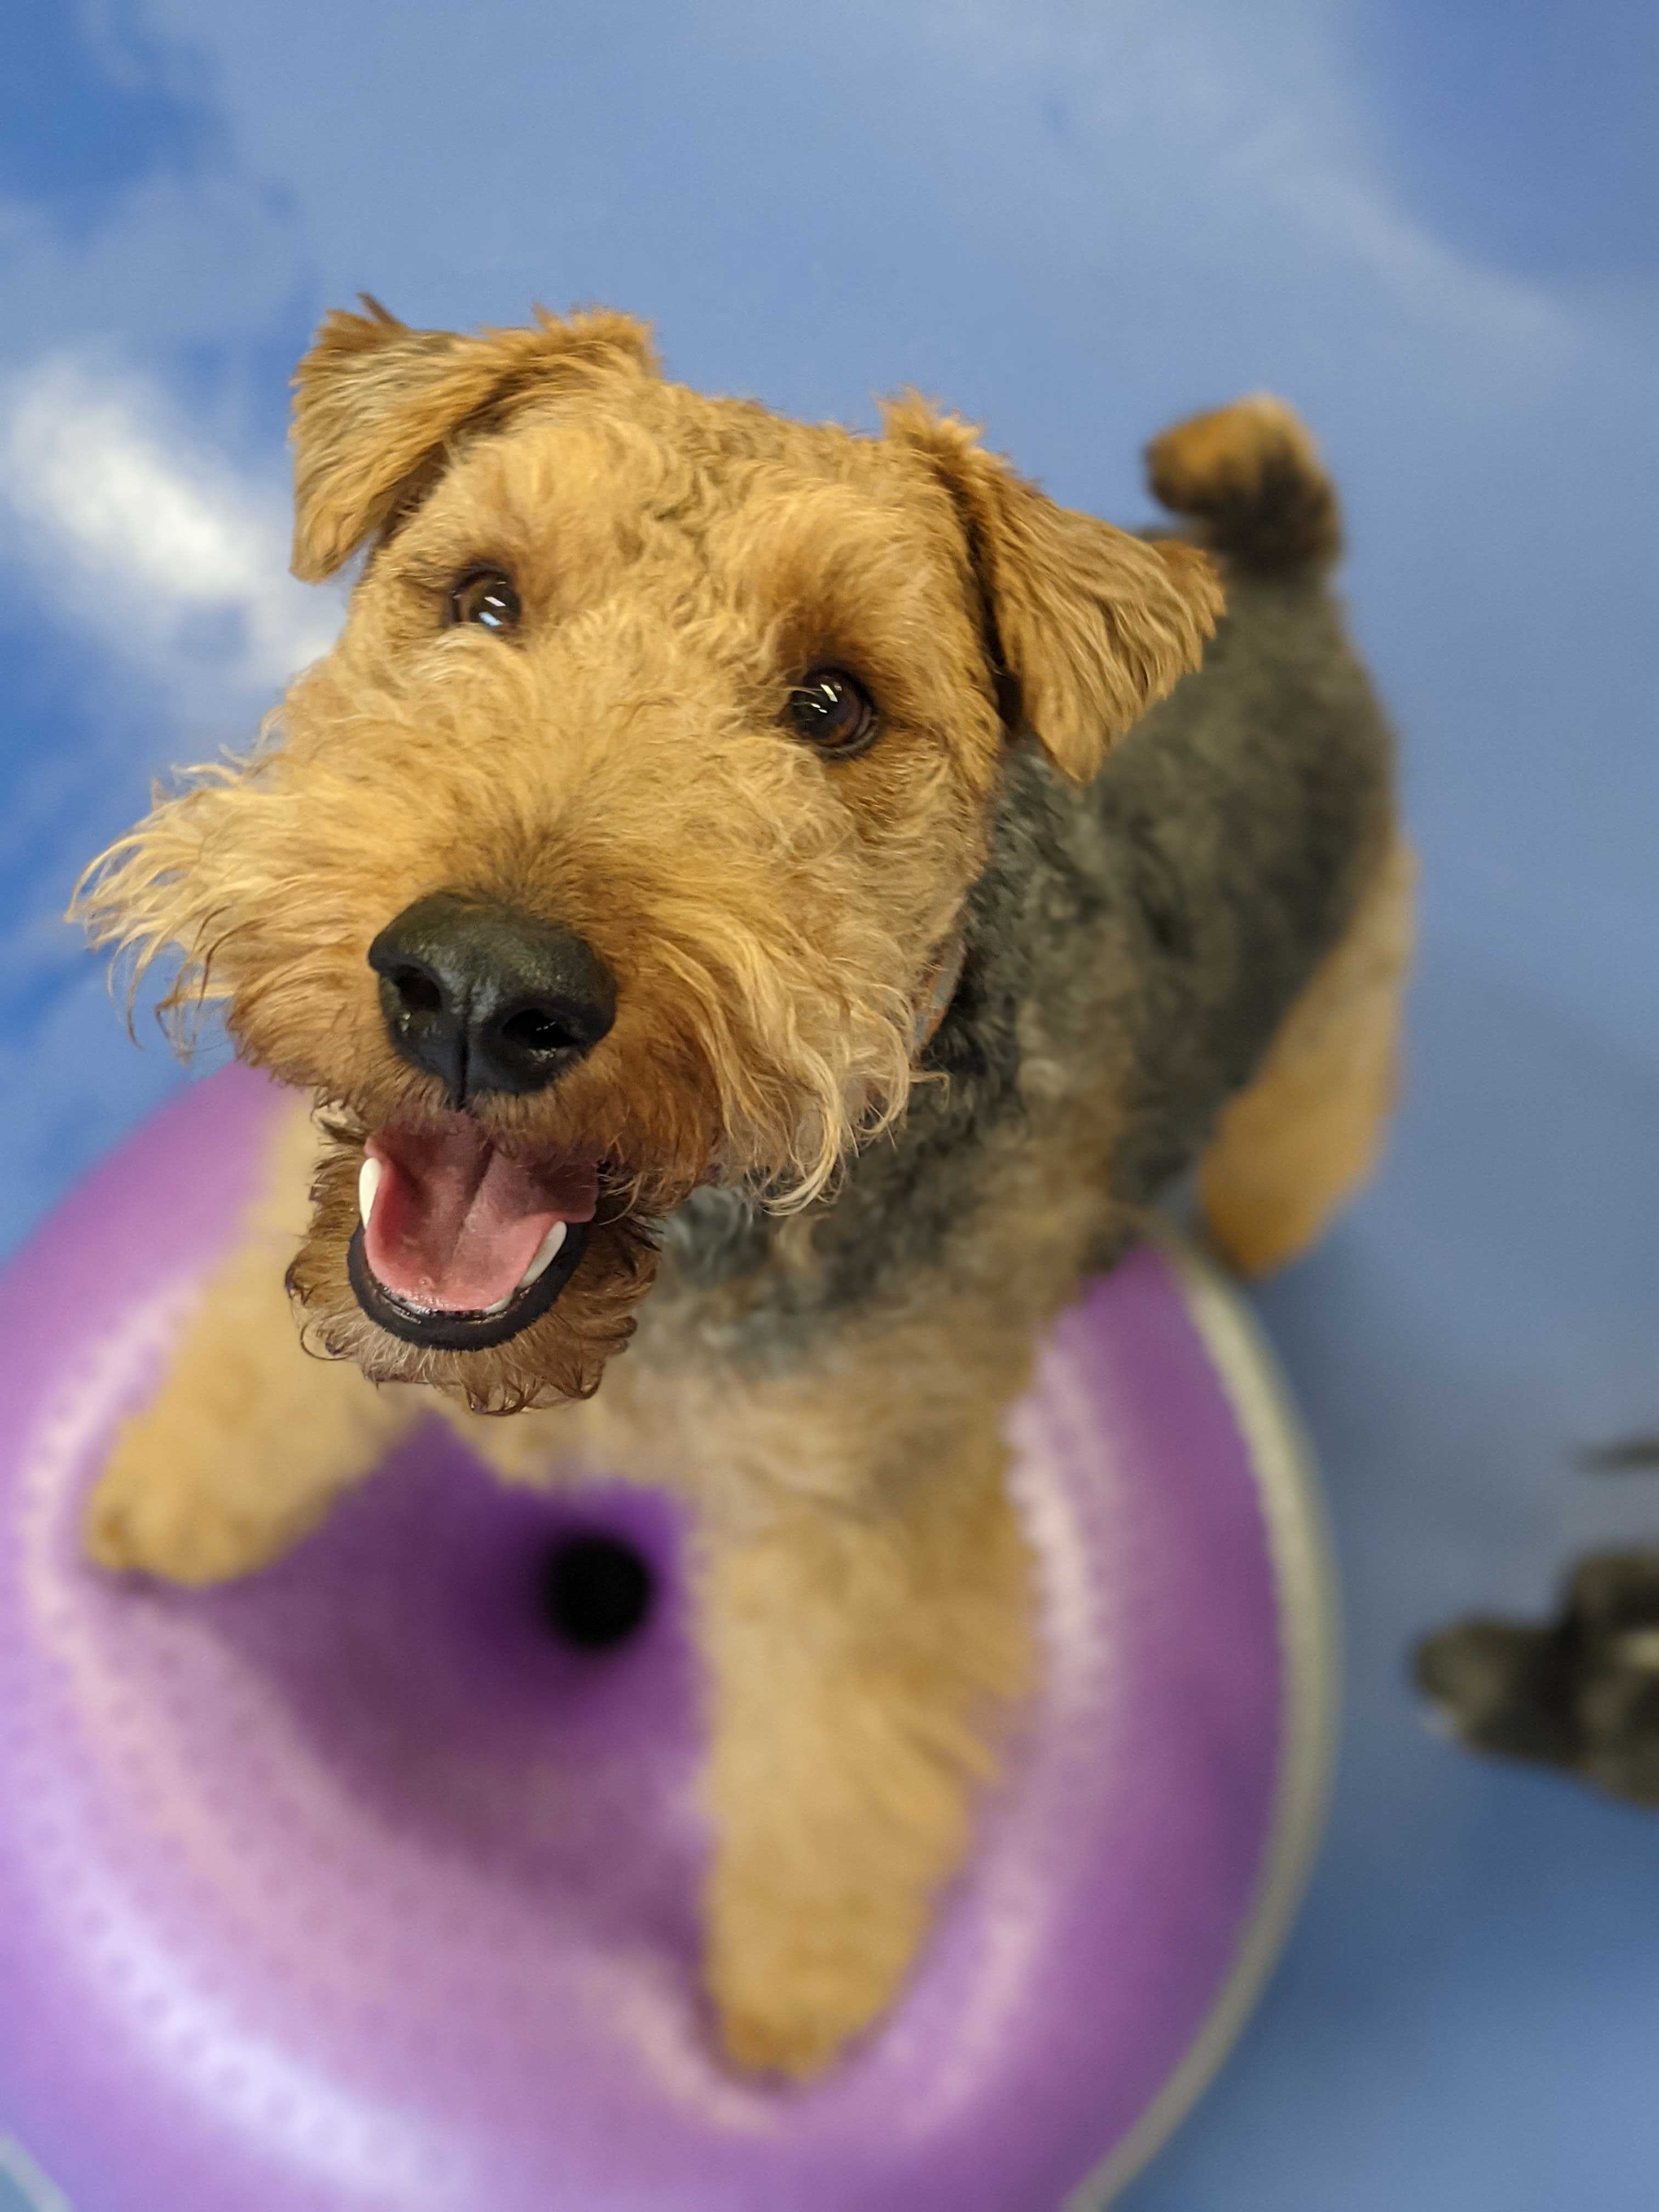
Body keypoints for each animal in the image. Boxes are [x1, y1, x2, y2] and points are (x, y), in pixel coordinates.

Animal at [75, 303, 1407, 2079]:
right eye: (483, 596)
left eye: (835, 704)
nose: (478, 990)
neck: (669, 1288)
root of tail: (1281, 558)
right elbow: (264, 1380)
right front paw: (161, 1503)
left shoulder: (857, 1537)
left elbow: (833, 1768)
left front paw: (796, 2005)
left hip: (1336, 1010)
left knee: (1316, 1128)